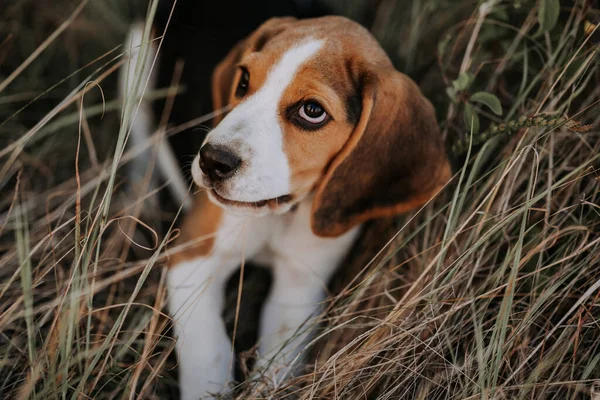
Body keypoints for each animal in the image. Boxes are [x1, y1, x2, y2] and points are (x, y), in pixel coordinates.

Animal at [120, 14, 450, 398]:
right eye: (244, 80)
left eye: (312, 111)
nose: (212, 161)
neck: (278, 213)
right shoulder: (193, 257)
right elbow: (207, 351)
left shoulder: (299, 289)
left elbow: (277, 362)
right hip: (136, 54)